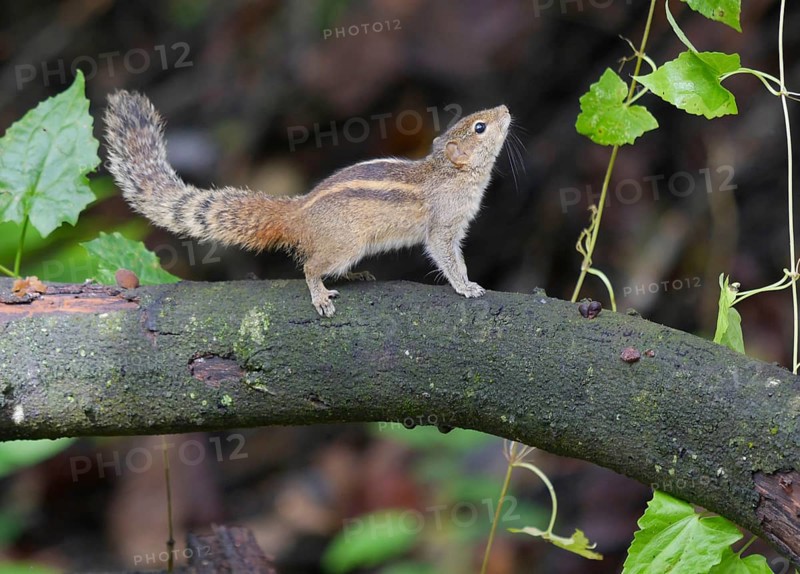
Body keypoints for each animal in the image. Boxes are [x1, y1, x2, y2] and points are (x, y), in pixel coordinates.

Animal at [104, 91, 511, 316]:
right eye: (479, 127)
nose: (506, 109)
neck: (450, 171)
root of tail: (298, 213)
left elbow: (456, 257)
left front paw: (468, 281)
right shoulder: (443, 227)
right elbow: (447, 259)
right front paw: (466, 287)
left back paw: (353, 276)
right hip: (345, 246)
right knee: (310, 266)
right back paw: (320, 294)